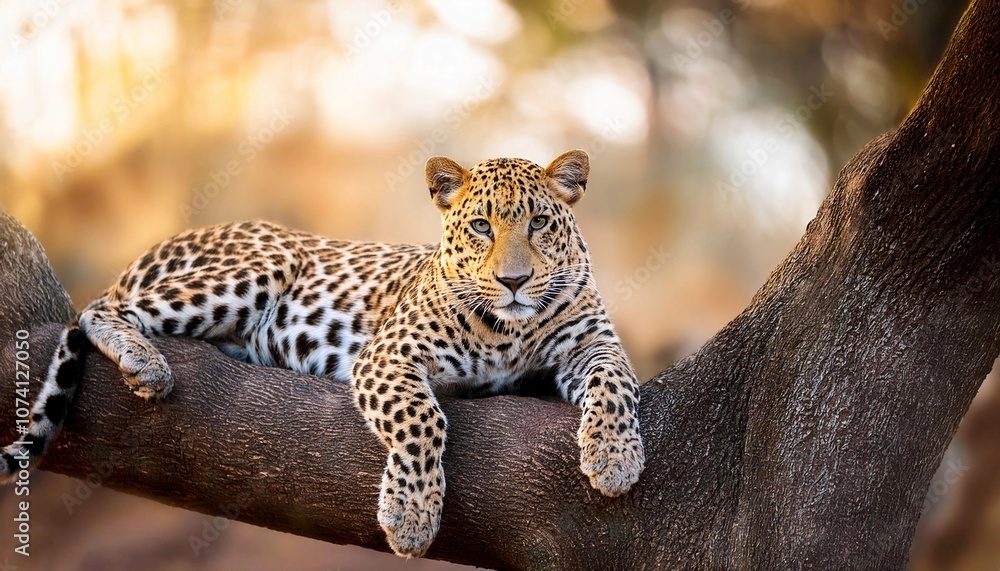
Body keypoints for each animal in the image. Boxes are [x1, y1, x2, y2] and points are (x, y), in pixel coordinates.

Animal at [1, 149, 645, 558]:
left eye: (539, 223)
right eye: (482, 227)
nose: (513, 282)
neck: (511, 330)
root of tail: (162, 242)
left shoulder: (592, 345)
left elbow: (617, 383)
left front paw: (614, 458)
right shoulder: (390, 353)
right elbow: (424, 419)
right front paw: (411, 516)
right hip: (263, 261)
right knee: (100, 308)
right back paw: (145, 361)